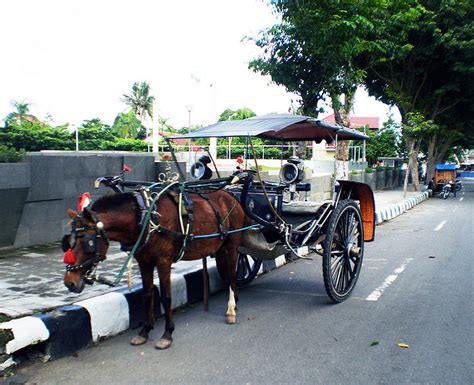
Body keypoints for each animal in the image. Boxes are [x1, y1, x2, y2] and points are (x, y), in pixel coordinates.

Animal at [63, 189, 246, 348]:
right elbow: (147, 294)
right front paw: (144, 331)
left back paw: (231, 310)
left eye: (88, 242)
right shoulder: (144, 262)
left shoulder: (163, 261)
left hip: (232, 244)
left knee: (232, 274)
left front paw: (167, 334)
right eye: (68, 241)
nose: (69, 282)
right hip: (220, 248)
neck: (145, 217)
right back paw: (236, 300)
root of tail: (230, 195)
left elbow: (166, 296)